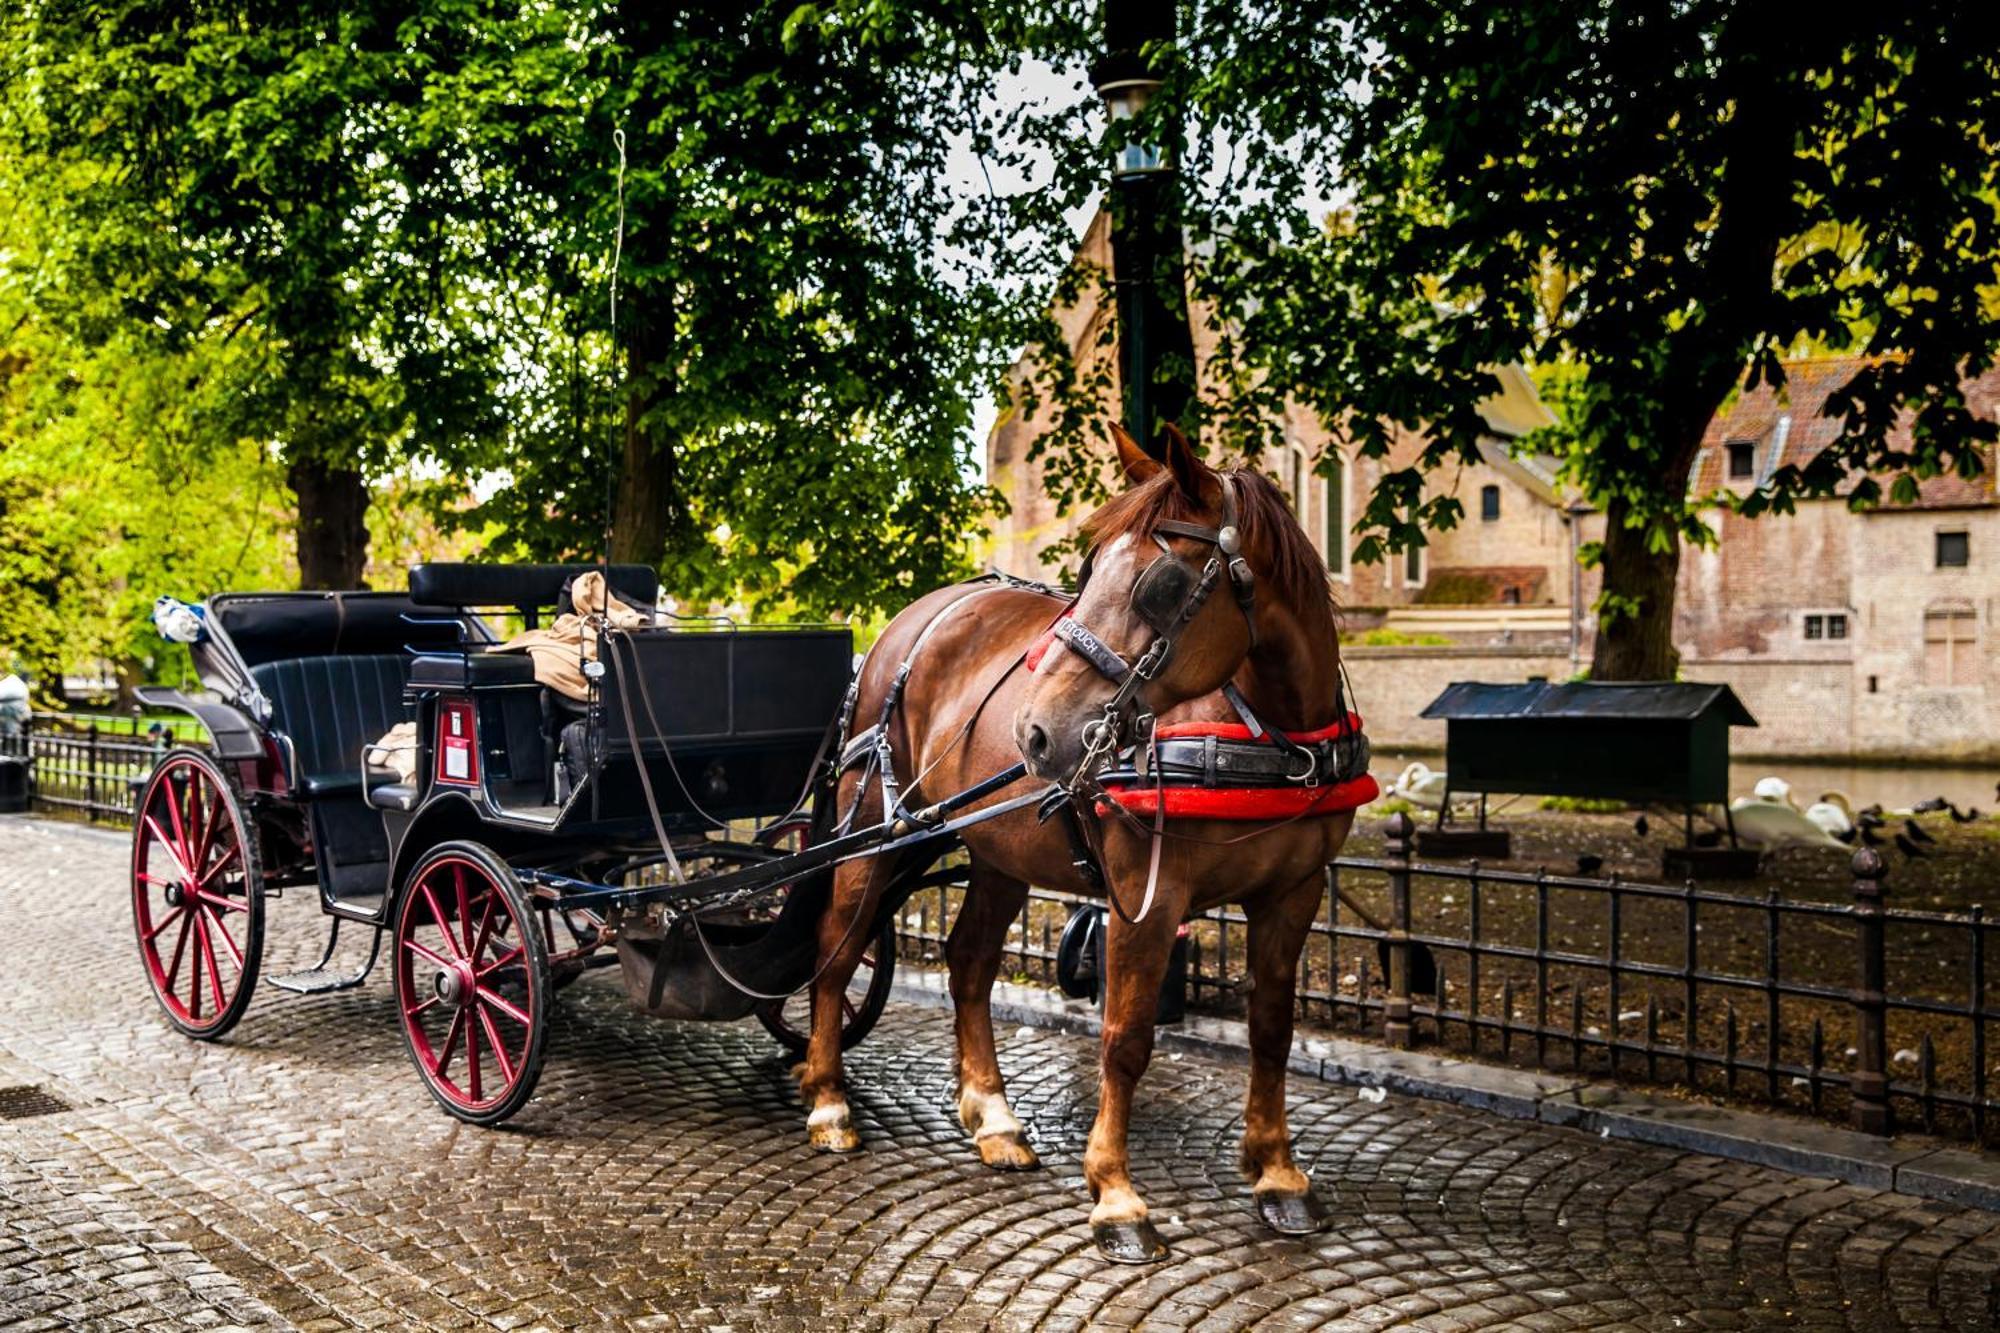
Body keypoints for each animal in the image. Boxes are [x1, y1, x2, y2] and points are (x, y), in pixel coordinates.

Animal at [804, 420, 1368, 1264]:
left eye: (1160, 584)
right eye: (1091, 568)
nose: (1035, 731)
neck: (1271, 729)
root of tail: (909, 623)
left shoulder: (1292, 893)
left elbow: (1272, 1027)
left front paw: (1277, 1172)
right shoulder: (1147, 898)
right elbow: (1126, 1039)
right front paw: (1116, 1194)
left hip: (998, 850)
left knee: (969, 961)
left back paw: (993, 1115)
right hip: (871, 826)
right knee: (838, 950)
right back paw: (829, 1102)